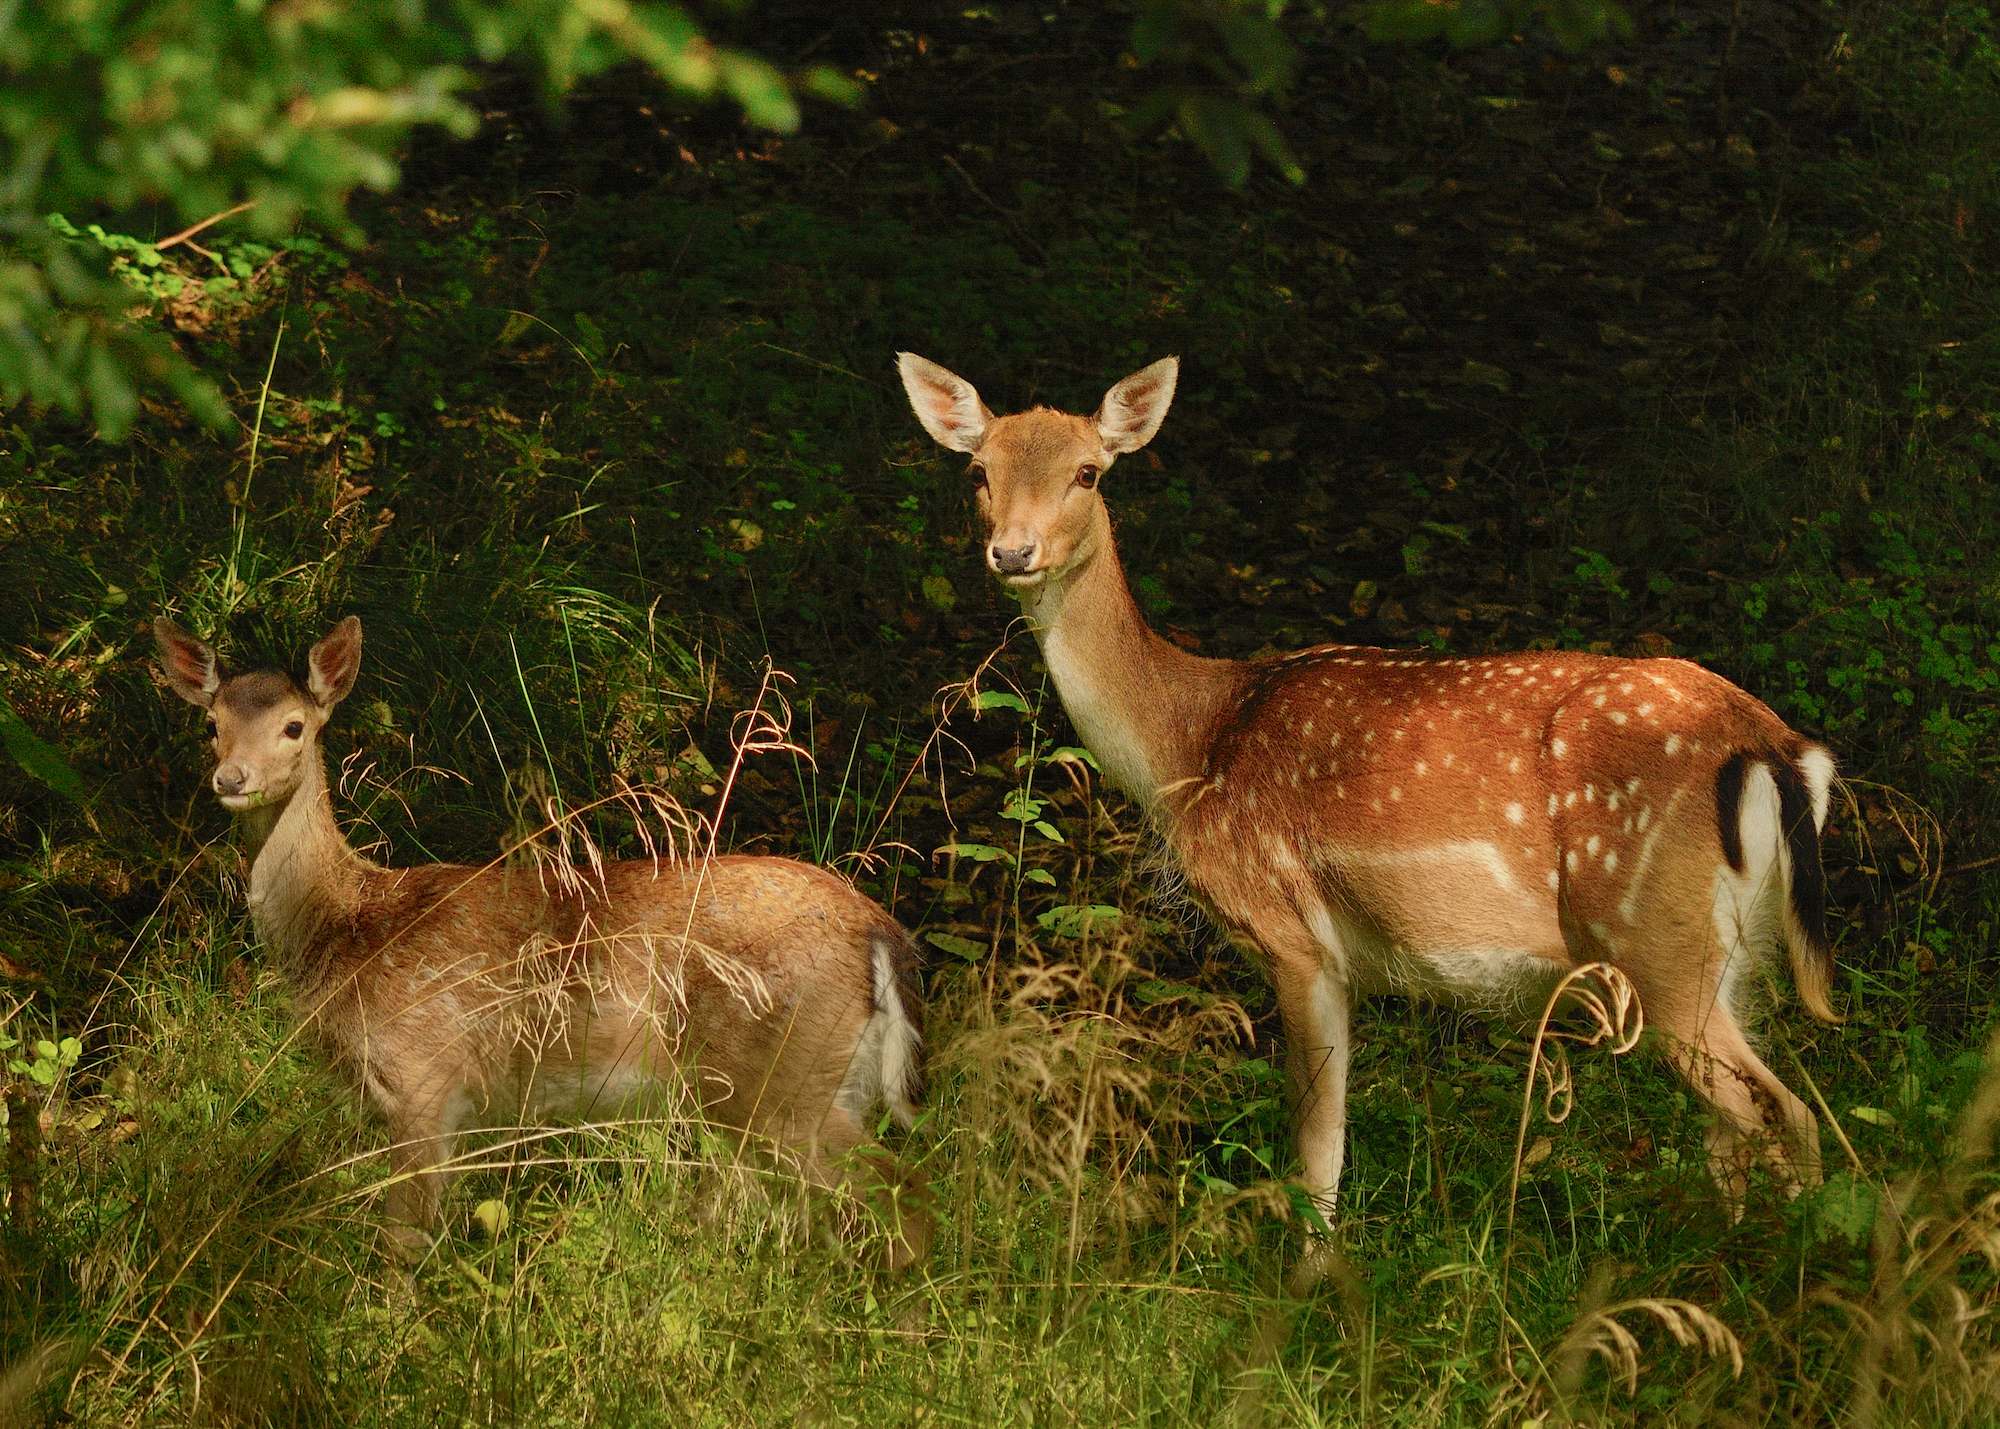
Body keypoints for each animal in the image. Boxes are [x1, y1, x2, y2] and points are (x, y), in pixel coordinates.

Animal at [154, 612, 928, 1256]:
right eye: (210, 724)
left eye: (294, 726)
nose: (231, 777)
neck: (350, 923)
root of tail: (879, 931)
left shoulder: (425, 1077)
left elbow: (404, 1241)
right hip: (825, 1080)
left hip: (780, 1079)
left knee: (904, 1188)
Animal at [900, 356, 1832, 1272]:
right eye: (979, 471)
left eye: (1088, 472)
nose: (1013, 550)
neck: (1194, 741)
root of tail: (1777, 746)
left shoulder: (1288, 929)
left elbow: (1316, 1145)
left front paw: (1308, 1285)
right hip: (1733, 953)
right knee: (1752, 1126)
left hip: (1655, 936)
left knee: (1782, 1116)